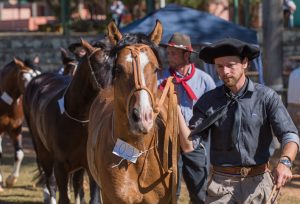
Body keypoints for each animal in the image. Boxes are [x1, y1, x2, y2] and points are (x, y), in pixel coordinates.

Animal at [22, 40, 110, 204]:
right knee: (50, 182)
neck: (79, 120)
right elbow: (63, 195)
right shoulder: (60, 166)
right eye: (98, 64)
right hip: (43, 152)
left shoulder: (89, 165)